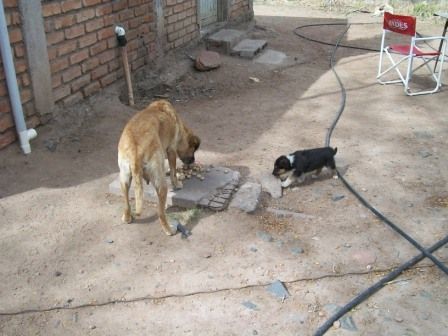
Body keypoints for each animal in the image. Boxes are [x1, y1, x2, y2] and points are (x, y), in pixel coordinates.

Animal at [117, 101, 200, 235]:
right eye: (193, 150)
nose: (193, 161)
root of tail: (135, 150)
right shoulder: (171, 150)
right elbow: (173, 171)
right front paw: (177, 184)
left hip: (124, 180)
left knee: (126, 204)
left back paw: (127, 217)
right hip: (161, 185)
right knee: (161, 213)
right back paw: (169, 230)